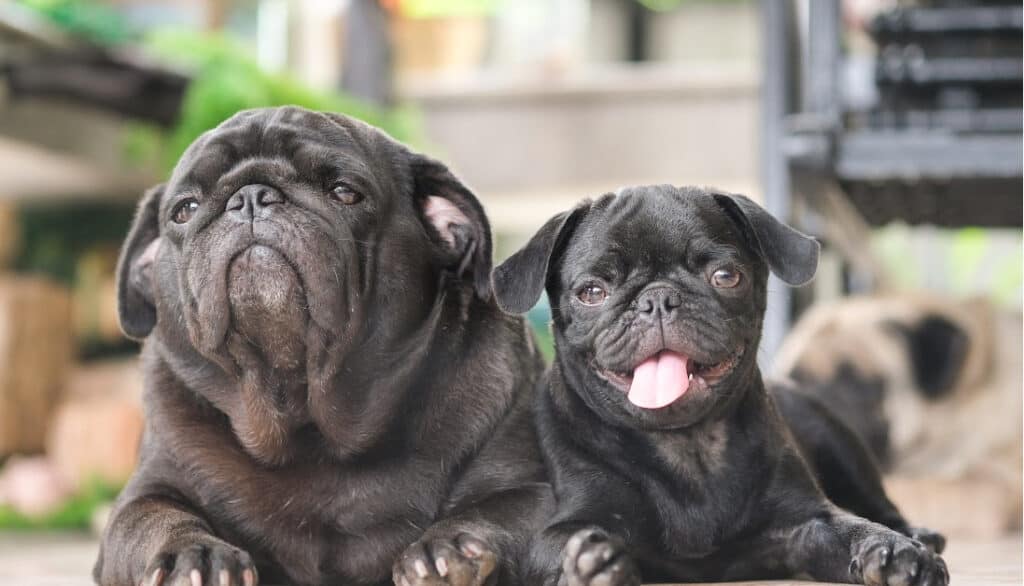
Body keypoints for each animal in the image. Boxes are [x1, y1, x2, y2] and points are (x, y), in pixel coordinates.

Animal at [97, 106, 552, 586]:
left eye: (345, 192)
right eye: (184, 210)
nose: (251, 197)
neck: (304, 416)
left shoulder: (537, 492)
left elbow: (499, 509)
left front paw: (448, 548)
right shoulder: (146, 493)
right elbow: (154, 518)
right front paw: (193, 554)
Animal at [491, 185, 946, 586]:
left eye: (725, 276)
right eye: (591, 292)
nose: (657, 299)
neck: (687, 445)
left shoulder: (808, 521)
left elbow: (852, 527)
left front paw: (892, 553)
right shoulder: (567, 524)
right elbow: (568, 542)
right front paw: (593, 566)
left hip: (836, 442)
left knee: (880, 505)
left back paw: (917, 536)